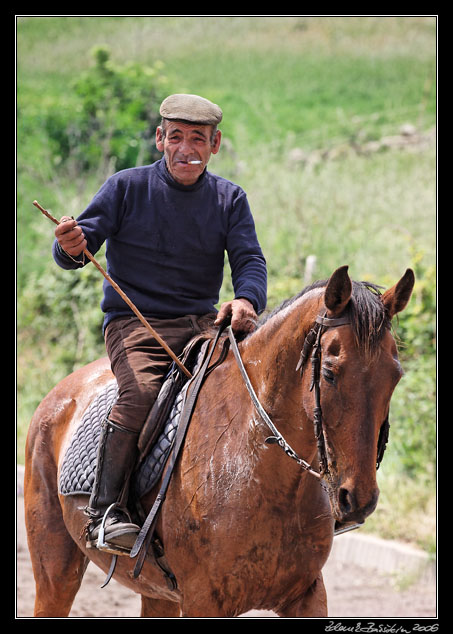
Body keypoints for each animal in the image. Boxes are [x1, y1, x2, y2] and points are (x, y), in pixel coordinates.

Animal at [24, 264, 414, 616]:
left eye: (395, 375)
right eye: (330, 373)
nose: (357, 499)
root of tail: (62, 392)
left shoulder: (307, 594)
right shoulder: (204, 600)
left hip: (157, 593)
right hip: (56, 571)